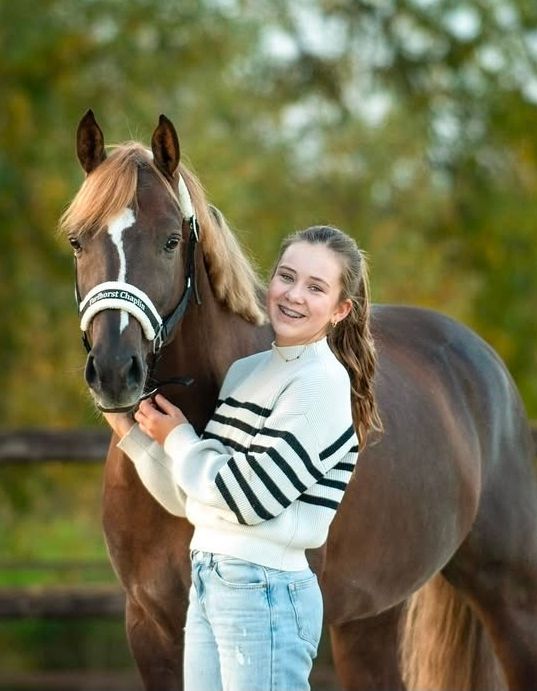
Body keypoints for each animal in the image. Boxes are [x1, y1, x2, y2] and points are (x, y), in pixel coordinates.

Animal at [60, 109, 537, 690]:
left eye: (171, 241)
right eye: (78, 241)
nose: (113, 370)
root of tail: (483, 362)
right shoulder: (150, 626)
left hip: (512, 601)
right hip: (371, 618)